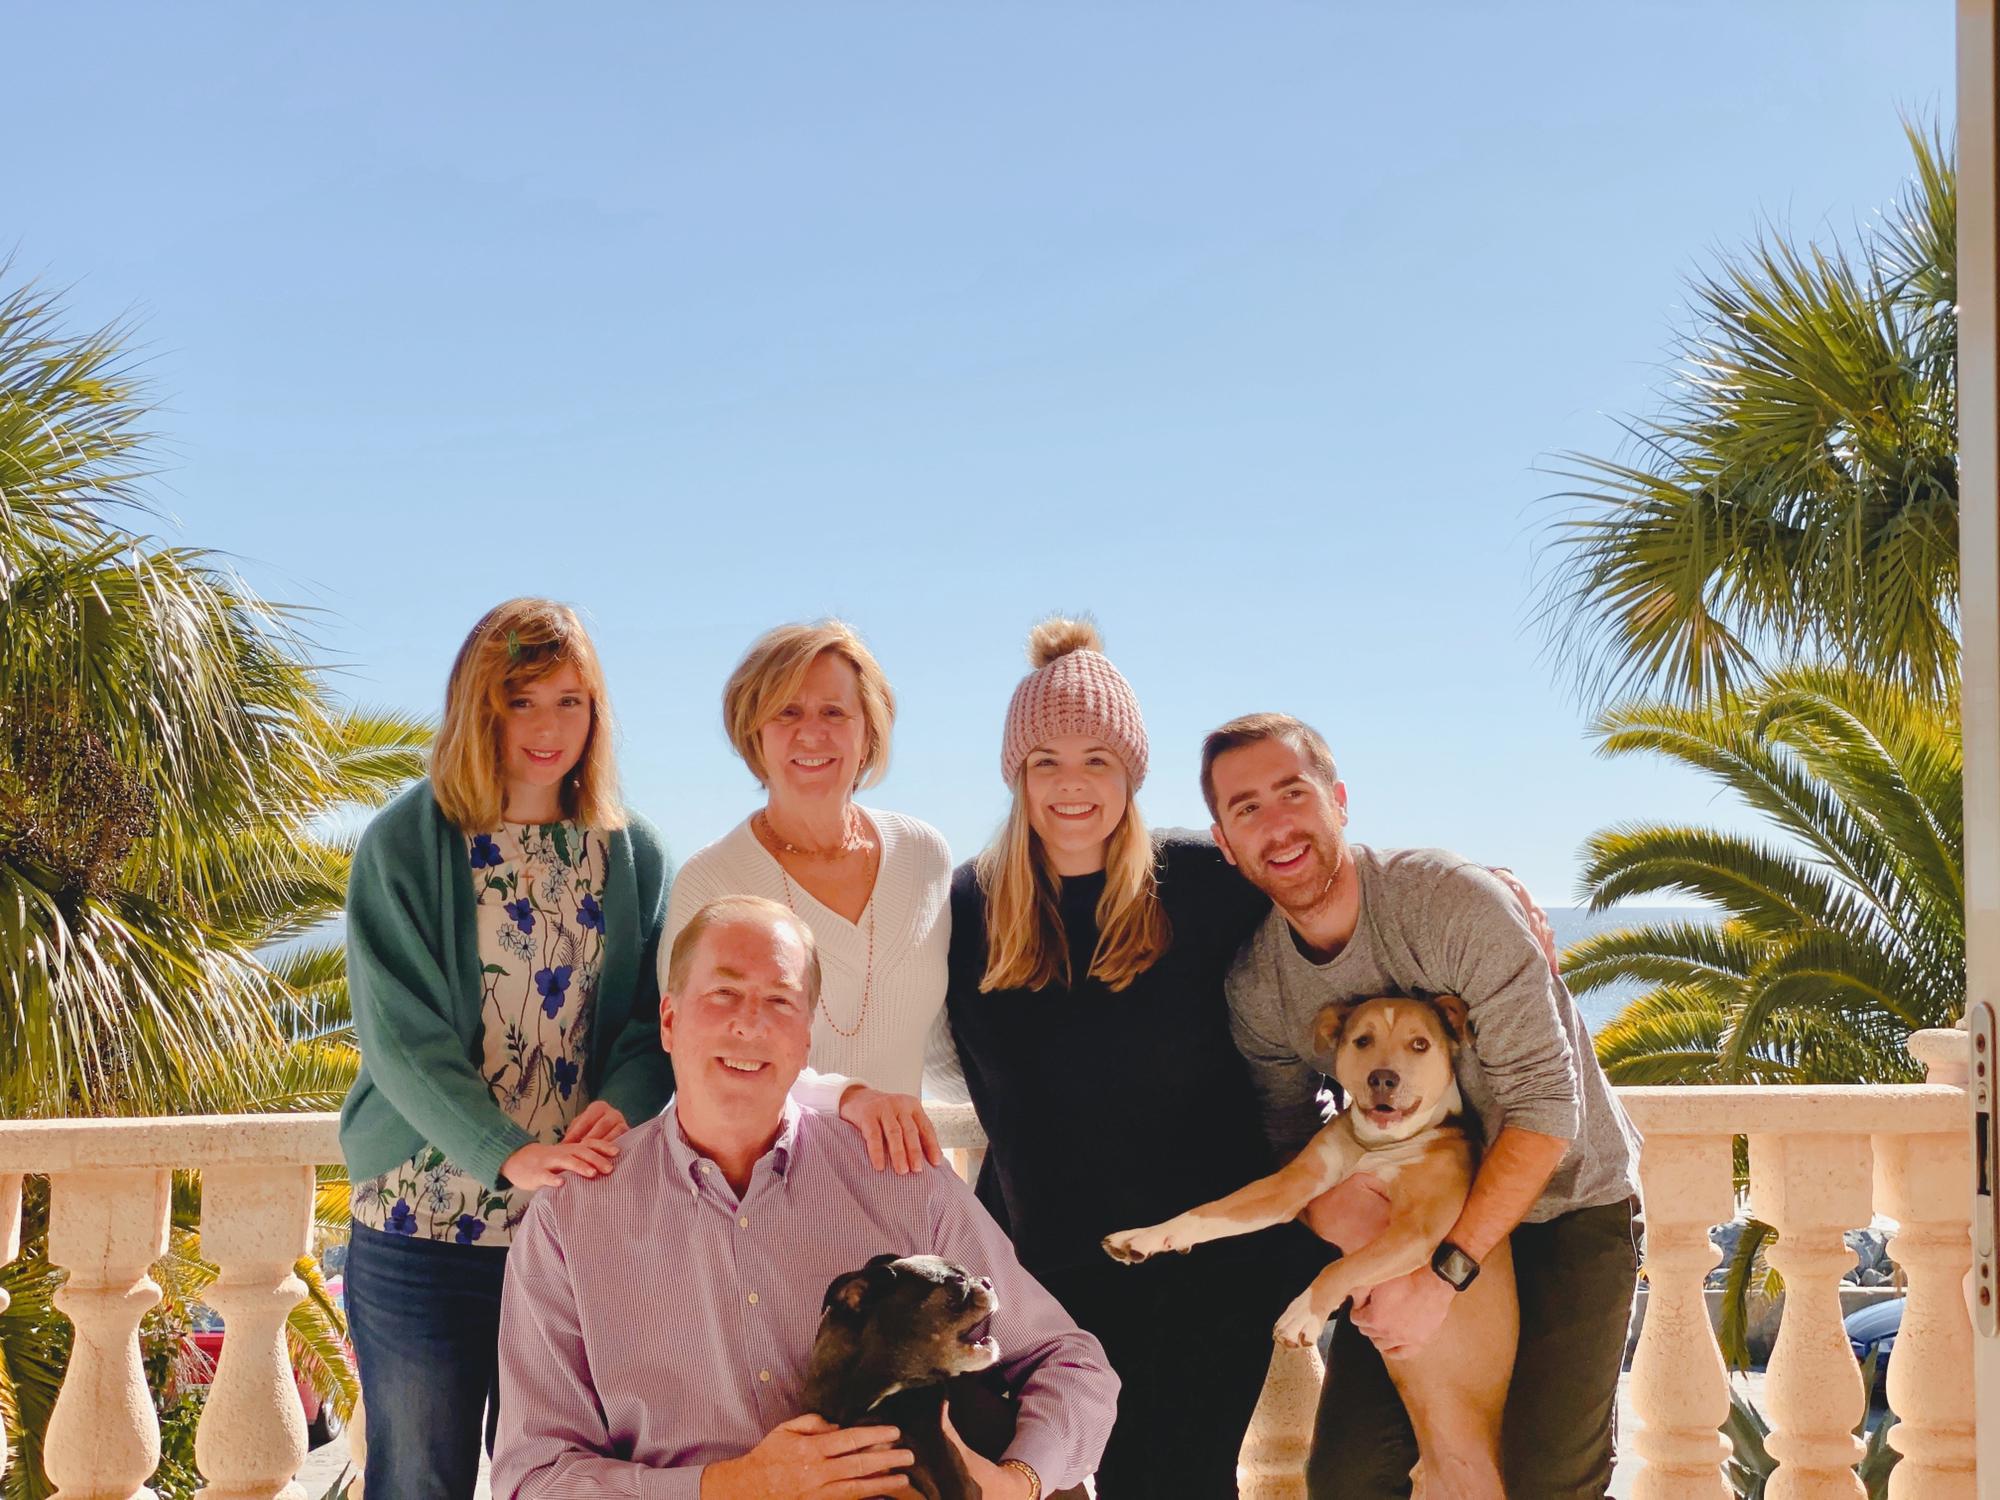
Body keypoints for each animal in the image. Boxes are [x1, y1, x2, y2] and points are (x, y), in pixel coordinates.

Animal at [1101, 994, 1518, 1500]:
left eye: (1420, 1044)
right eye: (1362, 1040)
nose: (1383, 1077)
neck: (1375, 1145)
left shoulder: (1422, 1229)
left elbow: (1340, 1268)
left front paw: (1301, 1315)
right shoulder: (1291, 1187)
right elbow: (1207, 1212)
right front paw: (1142, 1237)